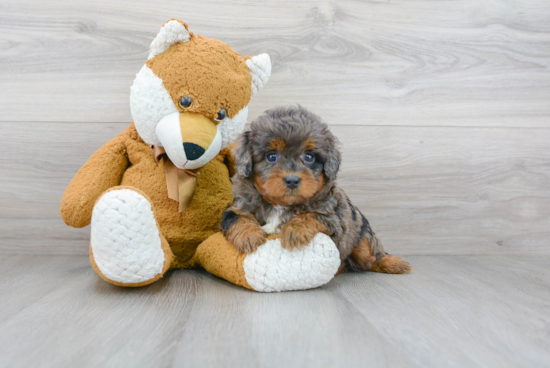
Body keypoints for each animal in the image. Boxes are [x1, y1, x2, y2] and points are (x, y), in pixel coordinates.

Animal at [222, 105, 412, 274]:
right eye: (271, 156)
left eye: (309, 156)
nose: (292, 180)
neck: (281, 204)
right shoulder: (238, 204)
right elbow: (236, 217)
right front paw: (249, 235)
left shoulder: (334, 219)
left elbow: (311, 215)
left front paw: (294, 230)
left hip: (363, 239)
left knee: (371, 258)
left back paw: (393, 263)